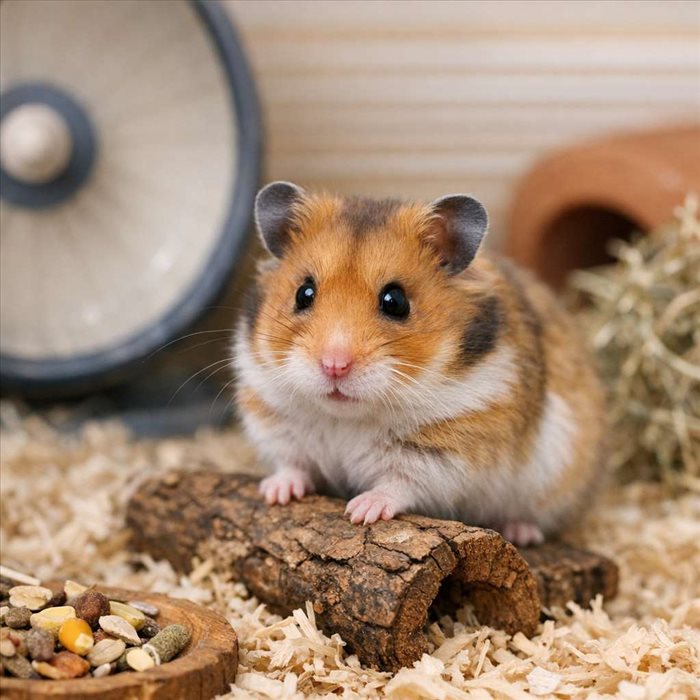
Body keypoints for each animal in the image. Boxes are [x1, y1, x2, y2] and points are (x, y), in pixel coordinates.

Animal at [233, 181, 606, 546]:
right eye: (304, 293)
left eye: (395, 301)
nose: (334, 366)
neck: (348, 417)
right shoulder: (274, 421)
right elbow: (291, 464)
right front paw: (275, 493)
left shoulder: (446, 451)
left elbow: (399, 483)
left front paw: (362, 510)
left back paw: (521, 531)